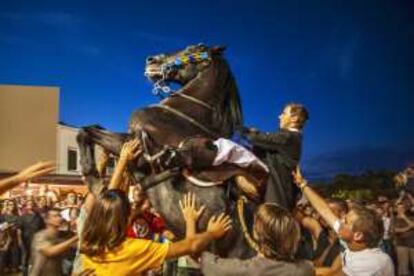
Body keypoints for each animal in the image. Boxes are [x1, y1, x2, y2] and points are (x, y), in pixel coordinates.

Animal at [76, 44, 254, 258]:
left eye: (194, 49)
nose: (151, 60)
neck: (182, 117)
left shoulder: (140, 152)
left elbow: (90, 133)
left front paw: (97, 184)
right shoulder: (131, 143)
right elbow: (86, 130)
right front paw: (95, 181)